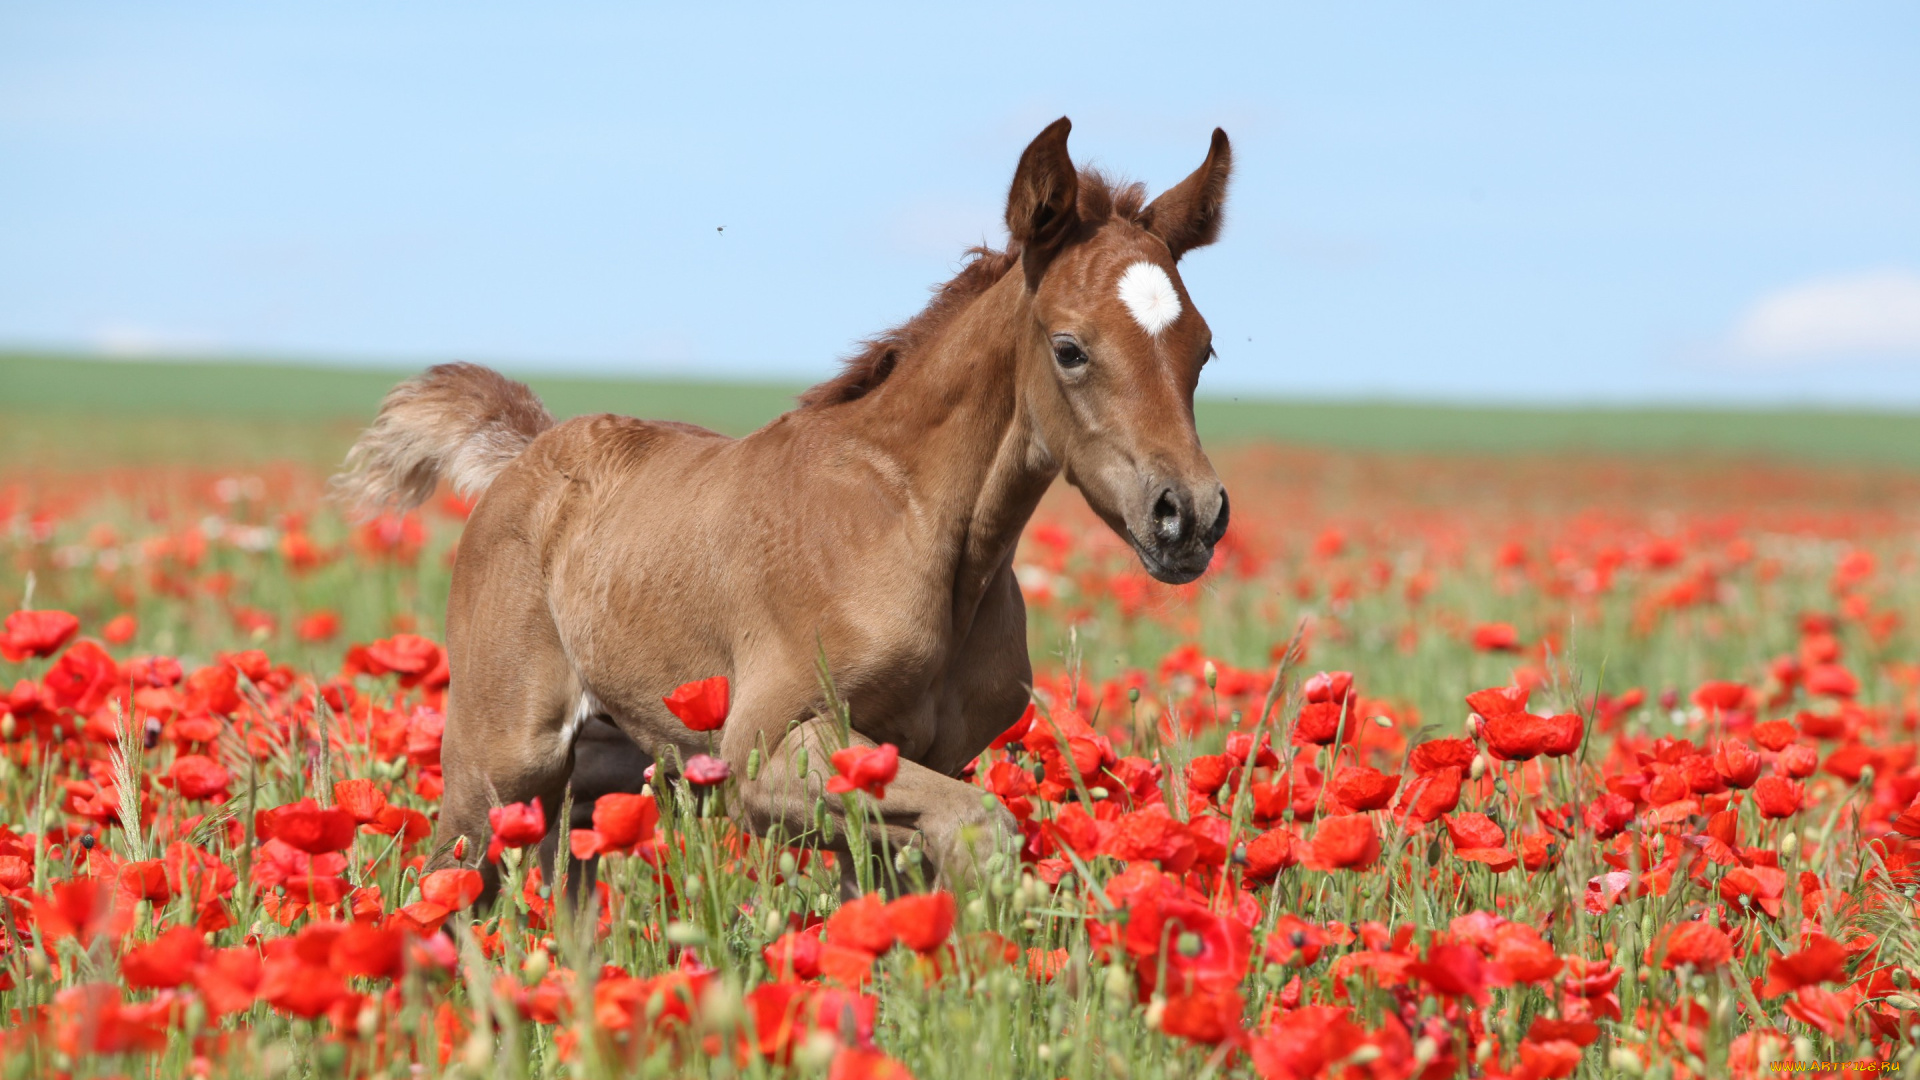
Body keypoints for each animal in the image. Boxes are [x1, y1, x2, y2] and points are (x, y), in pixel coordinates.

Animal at [330, 117, 1228, 891]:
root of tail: (526, 454)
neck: (913, 526)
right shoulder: (766, 754)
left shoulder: (918, 762)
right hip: (499, 768)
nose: (1187, 516)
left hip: (606, 771)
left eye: (1205, 347)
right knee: (444, 886)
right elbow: (981, 828)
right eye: (1070, 348)